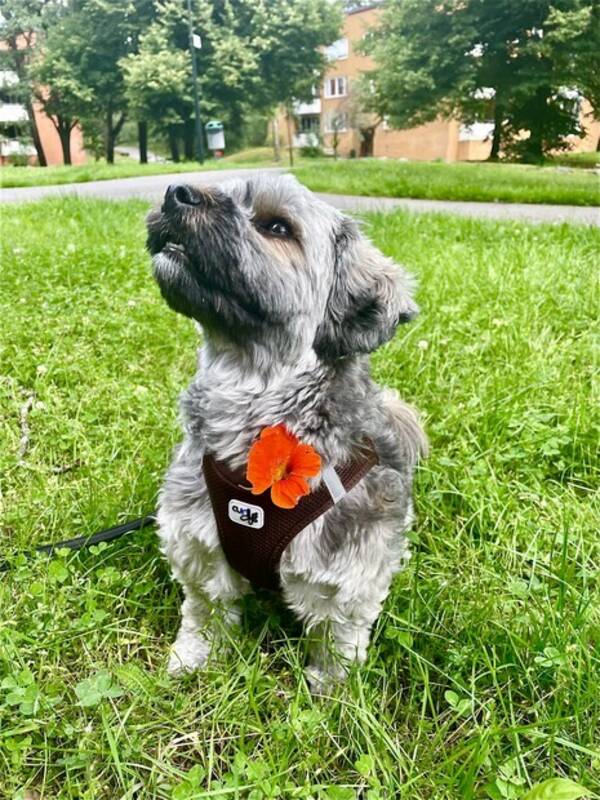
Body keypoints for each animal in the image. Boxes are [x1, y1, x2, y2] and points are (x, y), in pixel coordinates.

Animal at [146, 175, 426, 692]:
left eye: (277, 226)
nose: (176, 192)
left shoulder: (345, 567)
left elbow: (337, 634)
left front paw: (332, 691)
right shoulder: (199, 544)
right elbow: (205, 610)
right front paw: (195, 658)